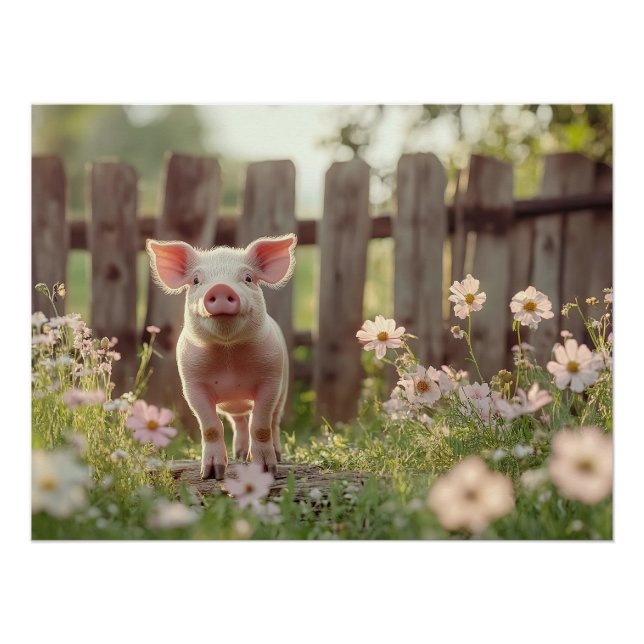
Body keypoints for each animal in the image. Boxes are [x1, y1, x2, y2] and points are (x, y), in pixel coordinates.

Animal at [145, 234, 296, 480]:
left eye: (248, 278)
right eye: (196, 280)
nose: (221, 287)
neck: (228, 354)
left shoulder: (271, 379)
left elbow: (260, 426)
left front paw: (266, 471)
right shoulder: (192, 385)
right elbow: (211, 428)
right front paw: (210, 475)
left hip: (283, 389)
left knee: (273, 421)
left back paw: (276, 456)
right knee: (239, 422)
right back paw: (240, 455)